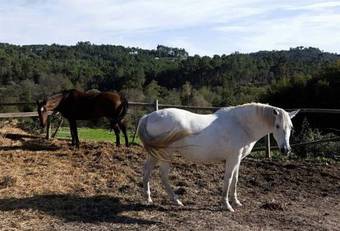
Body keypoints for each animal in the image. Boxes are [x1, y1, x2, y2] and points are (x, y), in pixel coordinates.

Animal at [137, 102, 298, 211]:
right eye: (277, 126)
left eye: (291, 127)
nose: (286, 149)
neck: (241, 125)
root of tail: (148, 116)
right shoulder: (232, 158)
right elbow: (228, 179)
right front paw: (227, 205)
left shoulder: (238, 159)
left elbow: (235, 180)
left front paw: (236, 202)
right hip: (166, 154)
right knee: (163, 175)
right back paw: (176, 201)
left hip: (155, 153)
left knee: (147, 171)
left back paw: (148, 198)